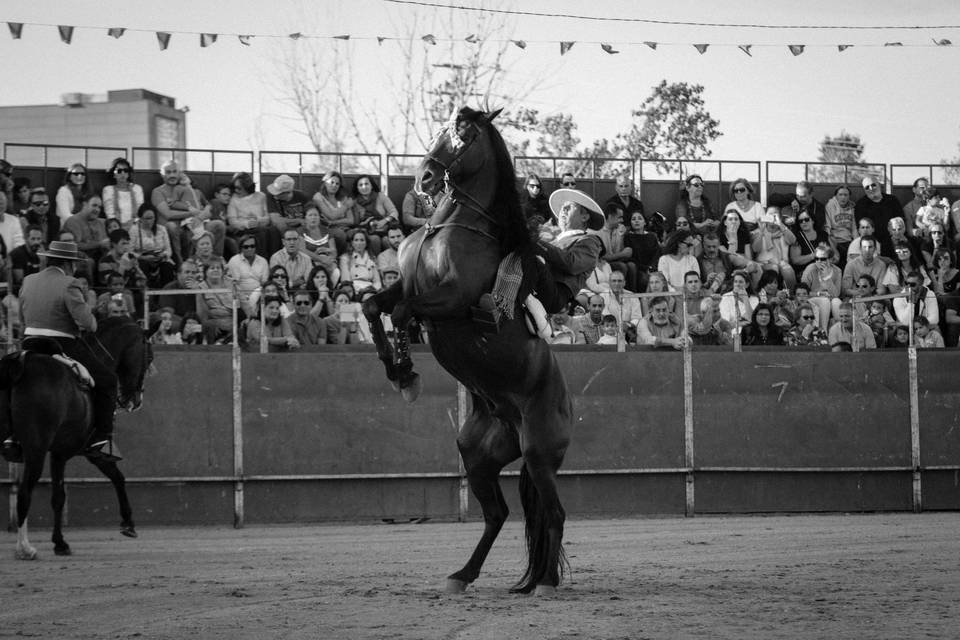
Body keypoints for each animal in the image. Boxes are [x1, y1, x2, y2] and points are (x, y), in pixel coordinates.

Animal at [0, 316, 152, 560]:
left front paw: (59, 542)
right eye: (149, 357)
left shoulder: (66, 453)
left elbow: (62, 495)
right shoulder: (82, 452)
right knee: (24, 494)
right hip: (36, 450)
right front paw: (127, 521)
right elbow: (111, 478)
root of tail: (20, 362)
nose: (134, 400)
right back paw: (24, 548)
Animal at [362, 107, 573, 595]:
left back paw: (545, 583)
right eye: (444, 129)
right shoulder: (405, 284)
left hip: (540, 452)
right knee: (498, 515)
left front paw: (407, 372)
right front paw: (396, 371)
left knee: (553, 513)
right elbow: (373, 305)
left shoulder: (450, 299)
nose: (423, 177)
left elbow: (401, 312)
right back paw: (464, 575)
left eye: (465, 135)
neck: (450, 225)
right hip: (477, 455)